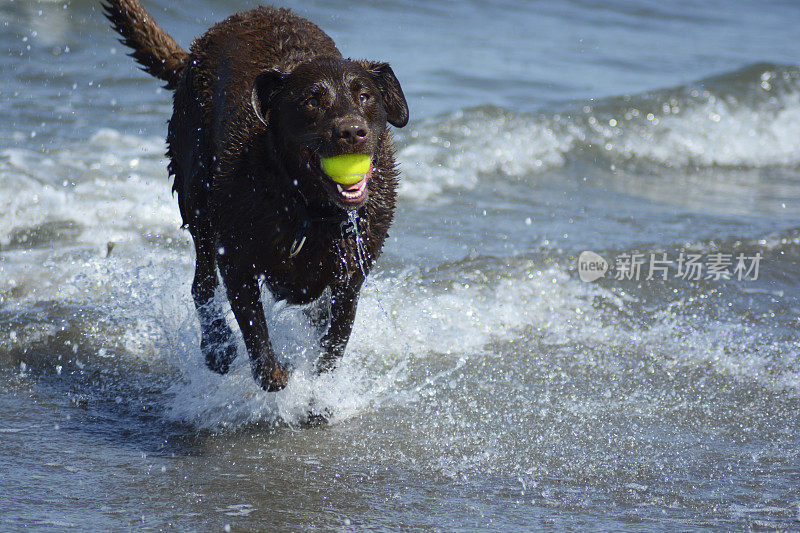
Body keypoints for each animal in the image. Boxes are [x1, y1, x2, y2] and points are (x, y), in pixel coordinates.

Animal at [103, 1, 410, 390]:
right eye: (312, 101)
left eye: (364, 96)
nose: (352, 131)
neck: (307, 206)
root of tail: (192, 55)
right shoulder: (237, 260)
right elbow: (256, 334)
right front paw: (278, 375)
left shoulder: (352, 269)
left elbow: (334, 341)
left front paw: (319, 386)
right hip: (197, 193)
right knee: (202, 282)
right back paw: (217, 346)